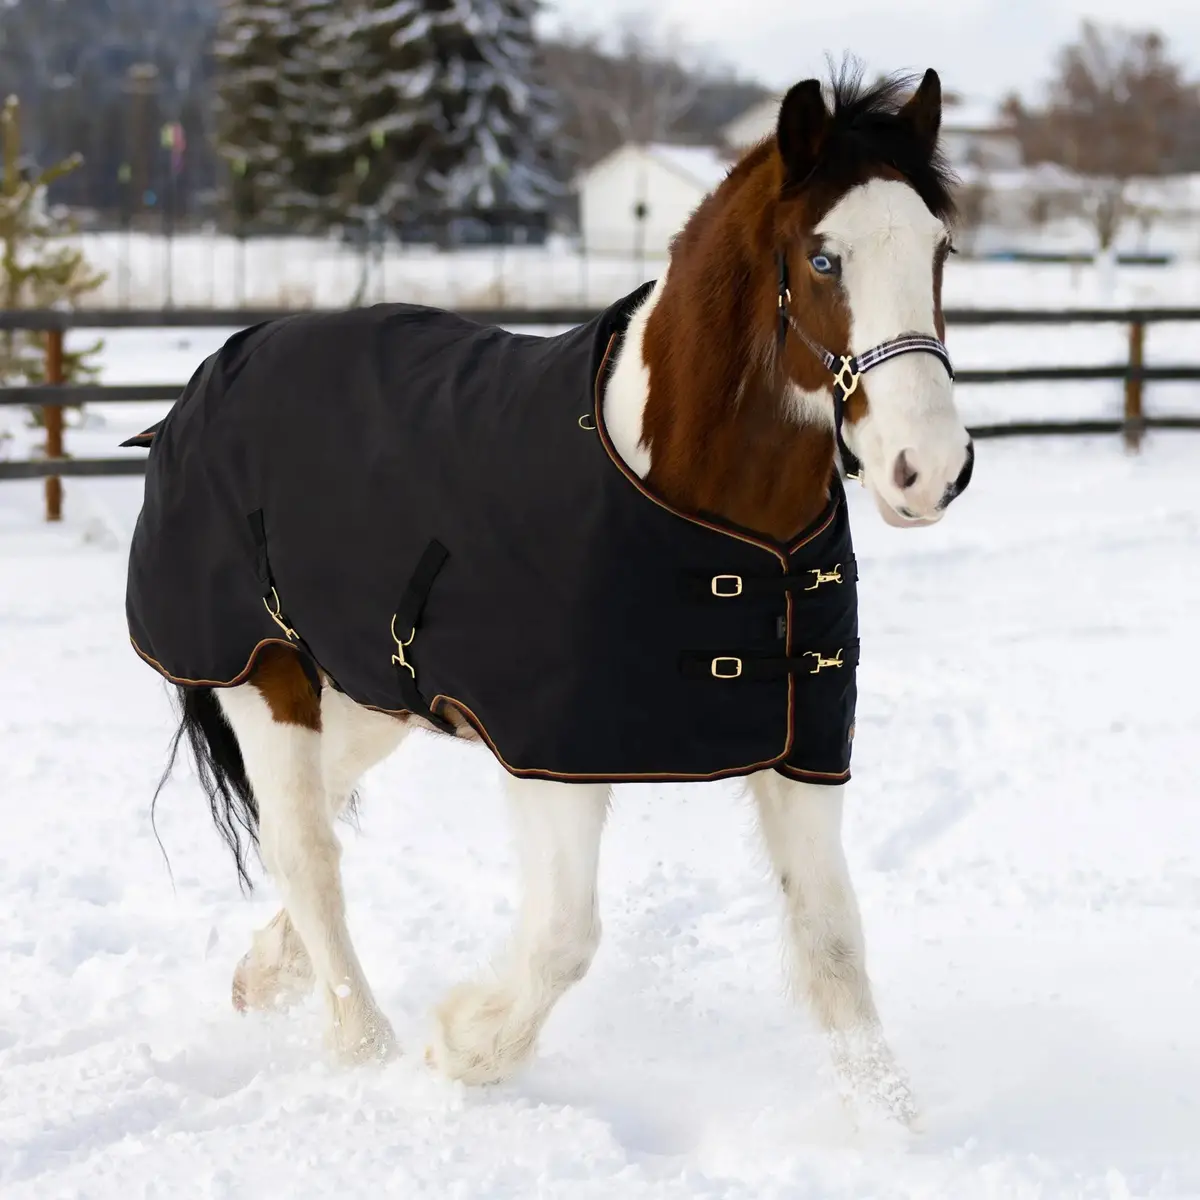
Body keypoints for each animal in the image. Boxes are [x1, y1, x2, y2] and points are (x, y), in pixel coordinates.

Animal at [128, 67, 971, 1127]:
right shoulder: (551, 750)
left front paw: (891, 1130)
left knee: (314, 816)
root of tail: (215, 370)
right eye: (824, 258)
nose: (928, 470)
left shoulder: (800, 744)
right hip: (262, 673)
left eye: (941, 248)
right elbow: (565, 936)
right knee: (306, 848)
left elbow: (832, 941)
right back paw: (367, 1050)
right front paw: (460, 1048)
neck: (719, 525)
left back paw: (262, 975)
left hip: (369, 693)